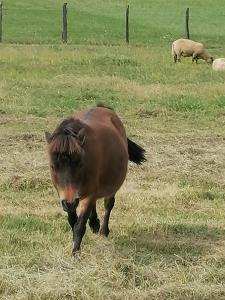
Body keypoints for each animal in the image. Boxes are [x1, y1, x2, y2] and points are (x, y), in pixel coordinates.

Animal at [45, 104, 146, 254]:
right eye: (52, 166)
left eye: (80, 164)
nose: (70, 202)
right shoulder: (65, 196)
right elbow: (72, 220)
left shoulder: (87, 195)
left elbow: (79, 226)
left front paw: (75, 252)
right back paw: (94, 224)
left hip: (110, 188)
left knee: (108, 205)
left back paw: (103, 230)